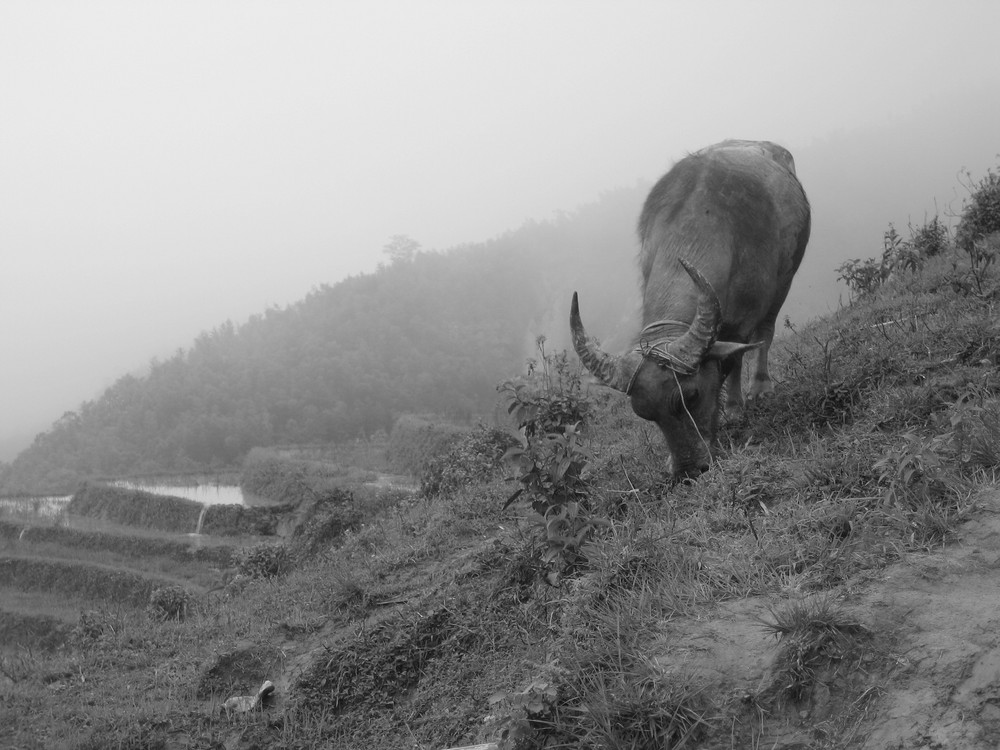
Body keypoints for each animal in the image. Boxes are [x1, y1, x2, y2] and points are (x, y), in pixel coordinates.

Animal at [572, 140, 812, 478]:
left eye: (692, 395)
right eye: (645, 413)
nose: (687, 469)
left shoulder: (745, 316)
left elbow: (735, 358)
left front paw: (734, 409)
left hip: (784, 279)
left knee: (765, 331)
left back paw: (760, 387)